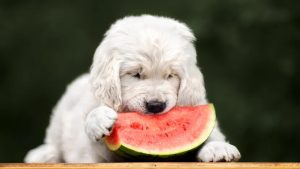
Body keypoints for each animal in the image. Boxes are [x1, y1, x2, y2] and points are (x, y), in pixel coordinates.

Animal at [25, 15, 241, 163]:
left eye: (171, 76)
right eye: (136, 74)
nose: (156, 106)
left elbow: (212, 133)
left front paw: (218, 148)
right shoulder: (96, 153)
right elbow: (92, 132)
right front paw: (98, 119)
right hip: (61, 114)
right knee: (53, 140)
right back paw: (43, 154)